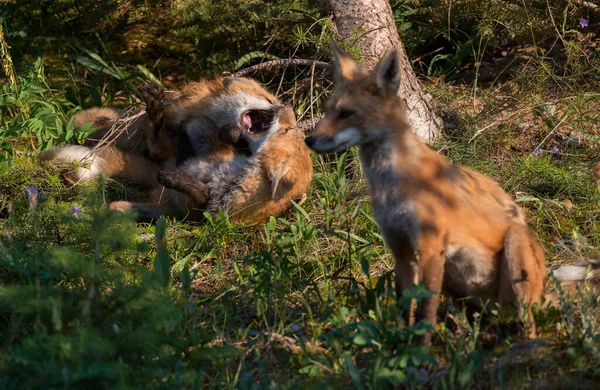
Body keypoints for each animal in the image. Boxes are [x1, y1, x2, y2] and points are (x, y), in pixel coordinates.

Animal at [308, 40, 596, 344]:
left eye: (346, 113)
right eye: (327, 110)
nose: (308, 140)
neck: (392, 185)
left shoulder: (431, 248)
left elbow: (425, 313)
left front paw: (420, 352)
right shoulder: (401, 250)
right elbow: (404, 308)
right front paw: (400, 348)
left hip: (515, 254)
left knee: (527, 325)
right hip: (461, 287)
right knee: (480, 321)